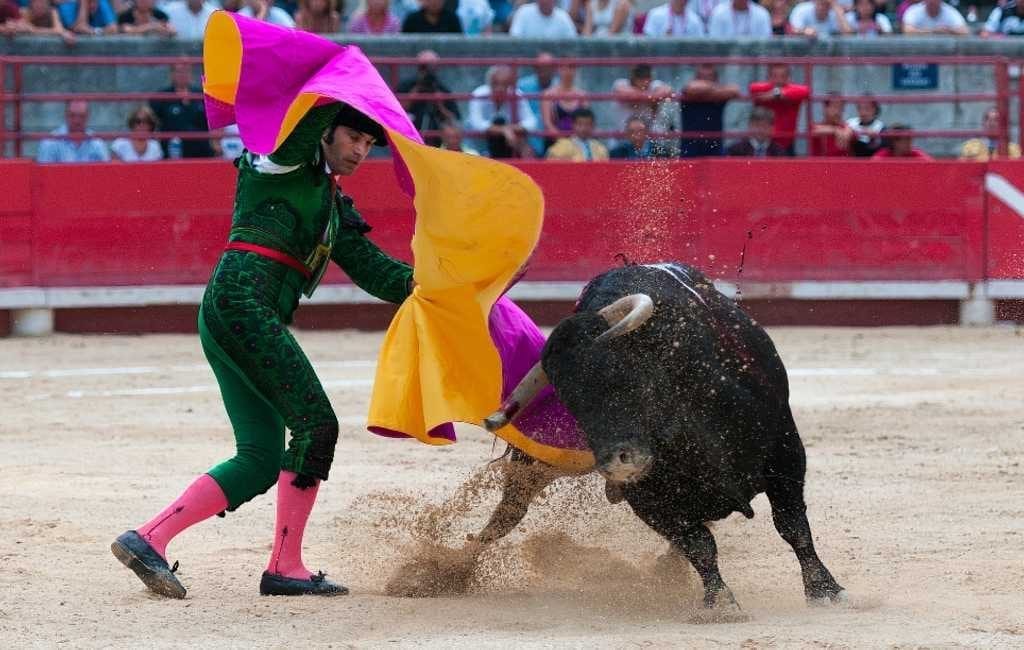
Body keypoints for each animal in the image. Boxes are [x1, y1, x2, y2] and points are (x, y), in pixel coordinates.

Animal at [475, 264, 843, 622]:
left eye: (621, 374)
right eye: (570, 403)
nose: (616, 463)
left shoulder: (785, 450)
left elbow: (792, 525)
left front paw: (825, 591)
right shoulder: (648, 498)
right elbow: (699, 545)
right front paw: (720, 603)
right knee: (511, 510)